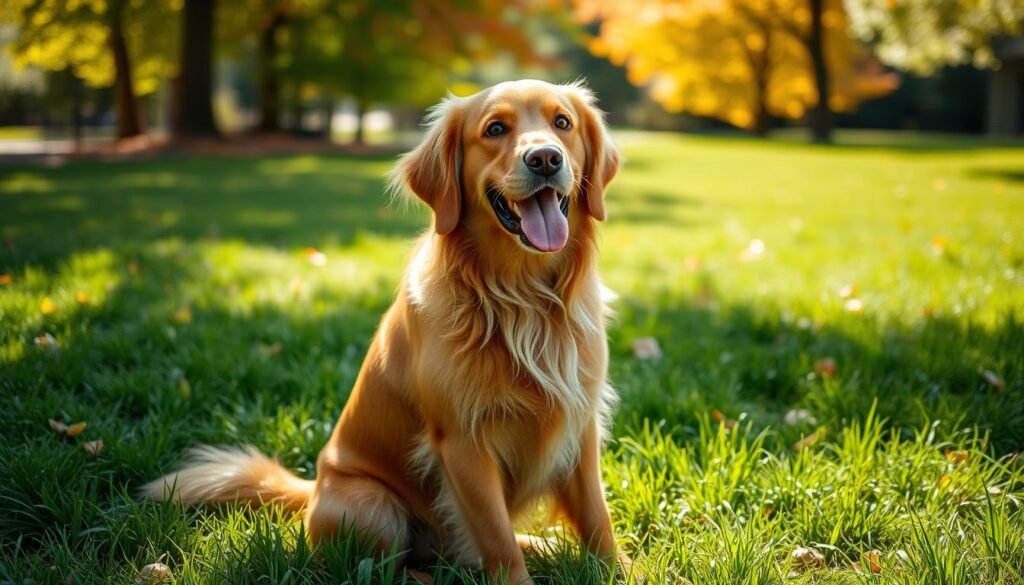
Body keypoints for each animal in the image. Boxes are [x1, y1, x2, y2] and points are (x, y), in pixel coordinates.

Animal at [144, 78, 622, 585]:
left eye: (562, 123)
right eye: (495, 129)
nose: (545, 158)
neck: (525, 299)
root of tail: (314, 489)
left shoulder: (579, 424)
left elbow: (596, 516)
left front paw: (619, 569)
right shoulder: (462, 442)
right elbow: (497, 541)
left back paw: (543, 545)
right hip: (371, 505)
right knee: (381, 566)